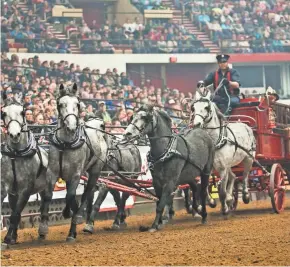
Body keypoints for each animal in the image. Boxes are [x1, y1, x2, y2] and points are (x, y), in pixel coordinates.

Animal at [0, 95, 48, 248]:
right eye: (4, 113)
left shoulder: (25, 189)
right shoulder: (6, 187)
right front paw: (12, 237)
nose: (14, 134)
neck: (16, 154)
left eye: (22, 112)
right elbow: (15, 212)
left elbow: (15, 214)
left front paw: (8, 238)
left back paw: (43, 230)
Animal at [37, 84, 107, 243]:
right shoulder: (52, 172)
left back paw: (80, 217)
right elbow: (48, 196)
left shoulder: (76, 174)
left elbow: (71, 196)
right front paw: (43, 229)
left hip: (94, 170)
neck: (65, 144)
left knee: (87, 192)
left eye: (77, 104)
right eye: (60, 104)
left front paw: (72, 230)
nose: (71, 127)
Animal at [193, 88, 256, 216]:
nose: (196, 124)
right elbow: (204, 187)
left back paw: (245, 196)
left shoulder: (222, 169)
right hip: (230, 164)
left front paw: (224, 209)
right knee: (233, 176)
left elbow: (221, 190)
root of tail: (245, 125)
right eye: (193, 107)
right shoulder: (209, 168)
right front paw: (212, 202)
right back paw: (230, 198)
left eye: (206, 107)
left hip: (249, 158)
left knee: (245, 176)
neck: (215, 141)